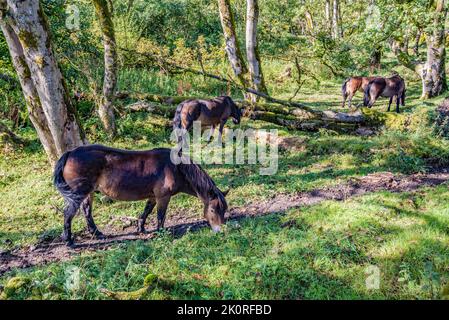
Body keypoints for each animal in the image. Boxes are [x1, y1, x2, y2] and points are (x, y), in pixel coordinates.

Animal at [53, 144, 228, 246]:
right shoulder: (163, 197)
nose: (220, 231)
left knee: (87, 211)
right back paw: (68, 240)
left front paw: (140, 227)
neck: (176, 168)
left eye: (224, 210)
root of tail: (70, 153)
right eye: (213, 210)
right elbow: (160, 215)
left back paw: (96, 233)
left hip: (87, 193)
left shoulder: (153, 196)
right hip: (78, 193)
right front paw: (160, 233)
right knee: (68, 214)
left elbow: (147, 211)